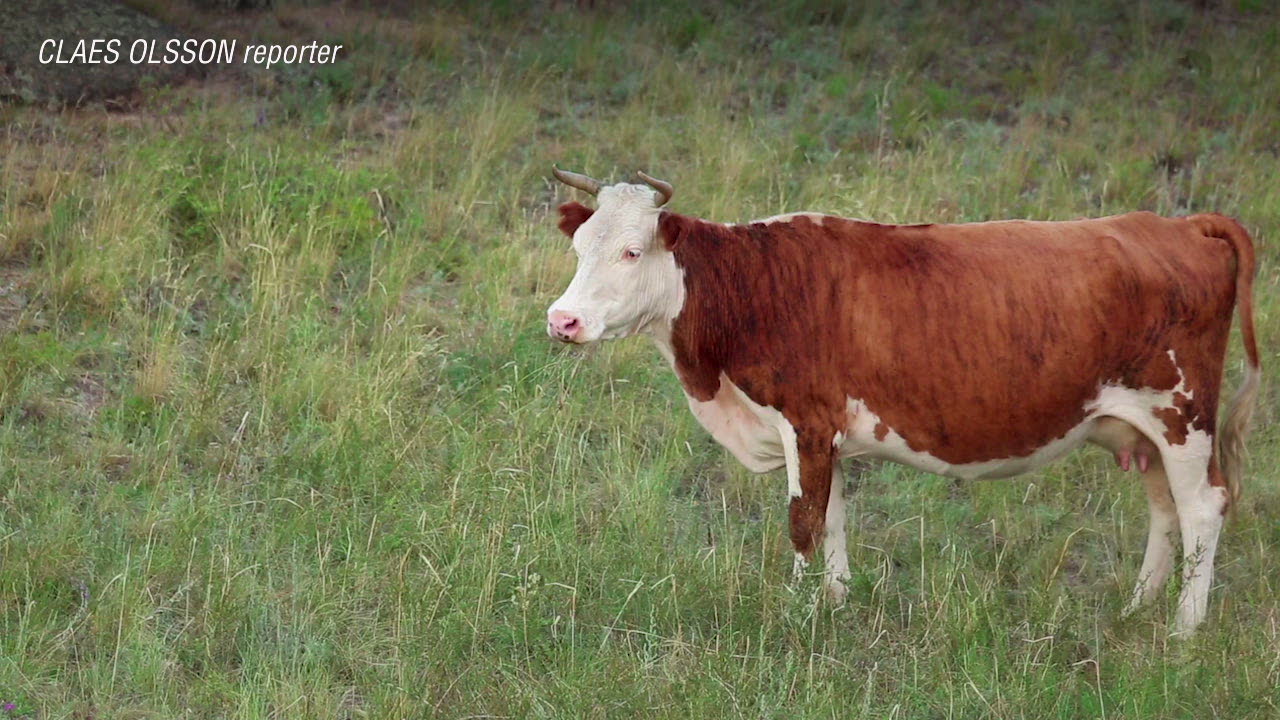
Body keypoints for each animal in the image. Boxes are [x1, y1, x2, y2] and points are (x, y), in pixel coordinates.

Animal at [540, 167, 1259, 632]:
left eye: (633, 251)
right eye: (578, 247)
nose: (562, 320)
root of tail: (1178, 223)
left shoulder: (805, 420)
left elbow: (802, 521)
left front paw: (794, 617)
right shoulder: (824, 434)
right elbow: (831, 517)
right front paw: (834, 604)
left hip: (1183, 413)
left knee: (1203, 507)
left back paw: (1184, 630)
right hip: (1143, 430)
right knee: (1166, 510)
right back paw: (1138, 608)